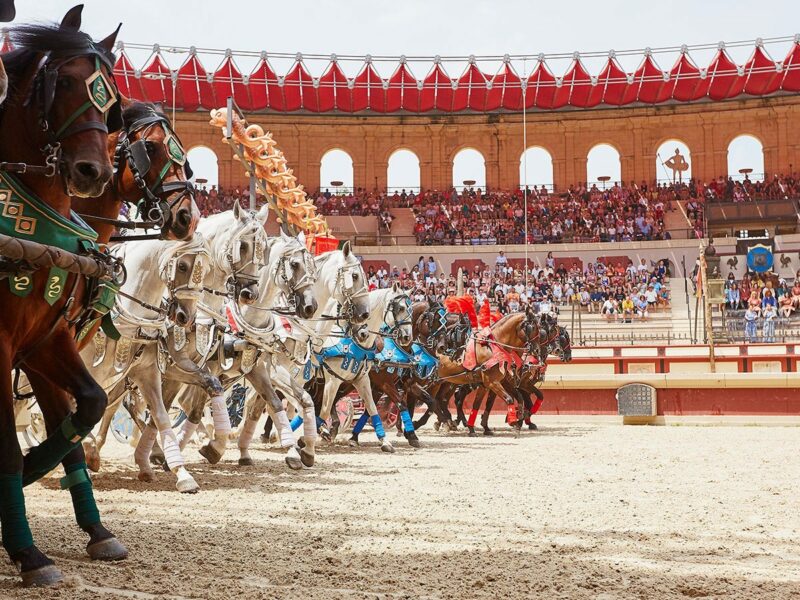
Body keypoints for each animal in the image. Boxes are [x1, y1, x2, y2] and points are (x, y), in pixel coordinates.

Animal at [77, 234, 209, 492]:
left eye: (206, 269)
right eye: (182, 266)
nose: (187, 317)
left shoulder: (147, 372)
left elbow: (161, 416)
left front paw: (182, 474)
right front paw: (88, 450)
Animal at [314, 284, 412, 452]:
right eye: (400, 308)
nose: (407, 337)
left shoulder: (363, 380)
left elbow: (372, 408)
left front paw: (385, 441)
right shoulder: (333, 380)